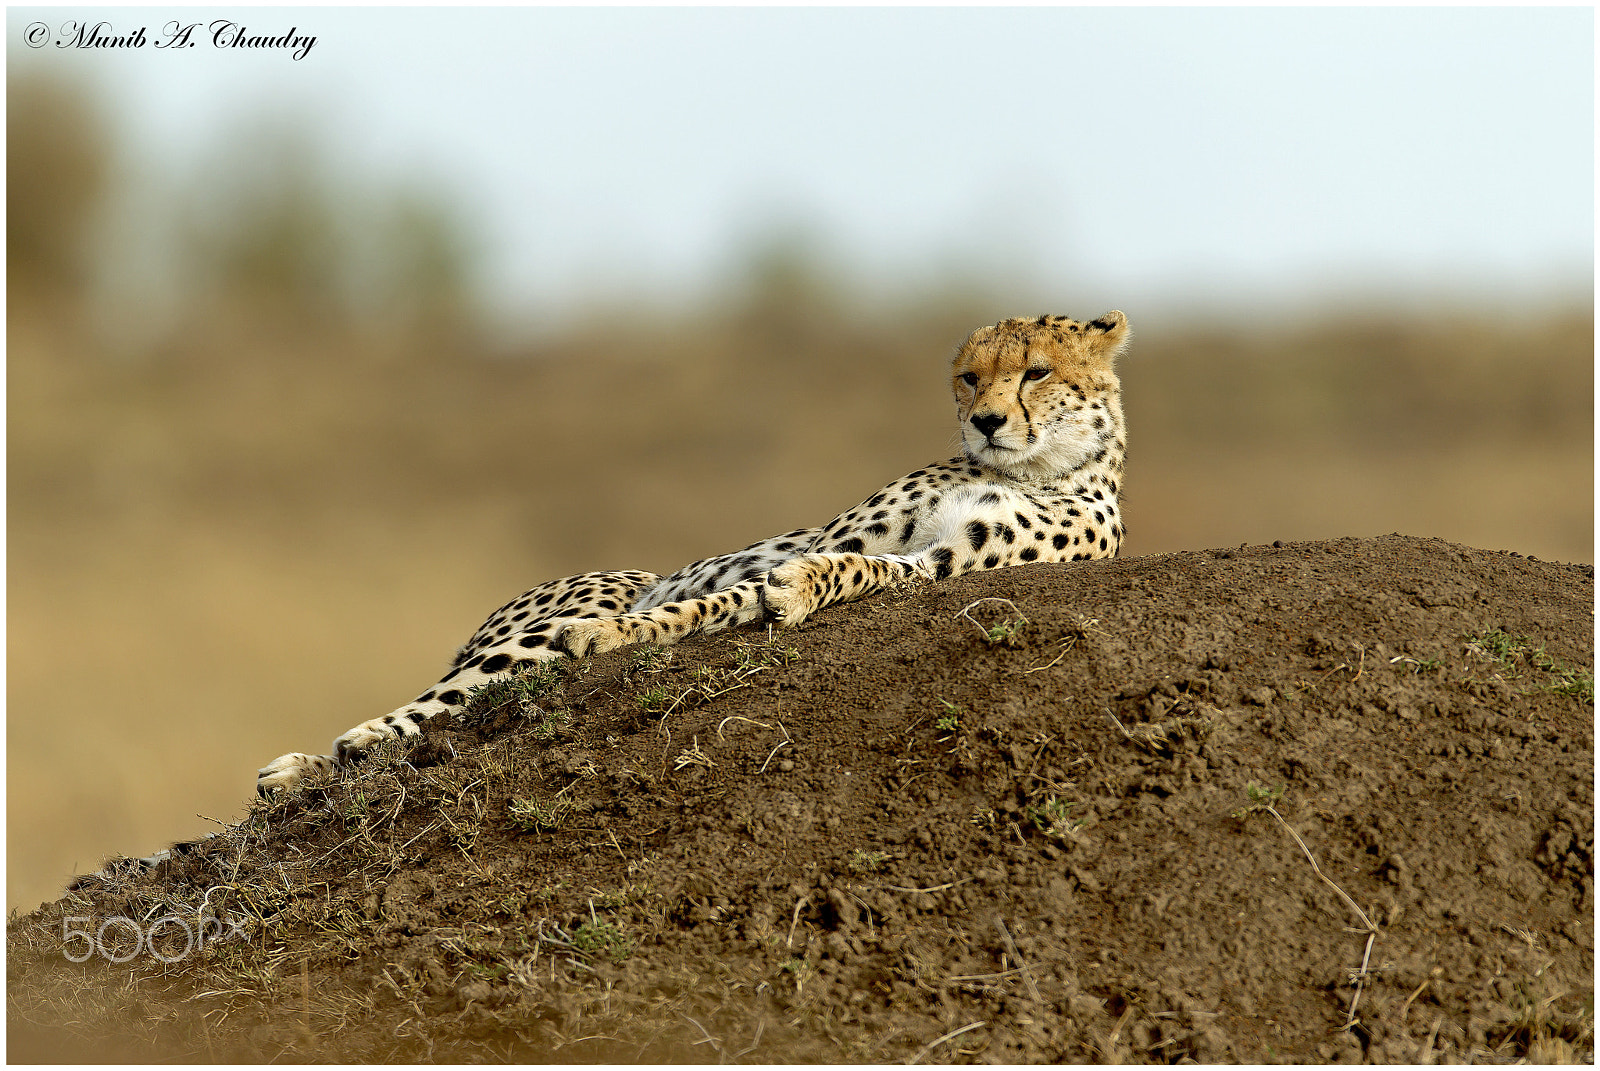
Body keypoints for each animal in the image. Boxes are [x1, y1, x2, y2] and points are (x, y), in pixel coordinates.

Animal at [256, 308, 1132, 794]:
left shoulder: (945, 561)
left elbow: (841, 574)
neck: (1038, 467)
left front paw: (793, 593)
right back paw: (308, 765)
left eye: (1036, 372)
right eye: (969, 377)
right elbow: (725, 591)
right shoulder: (844, 532)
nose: (984, 422)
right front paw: (622, 630)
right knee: (436, 703)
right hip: (517, 638)